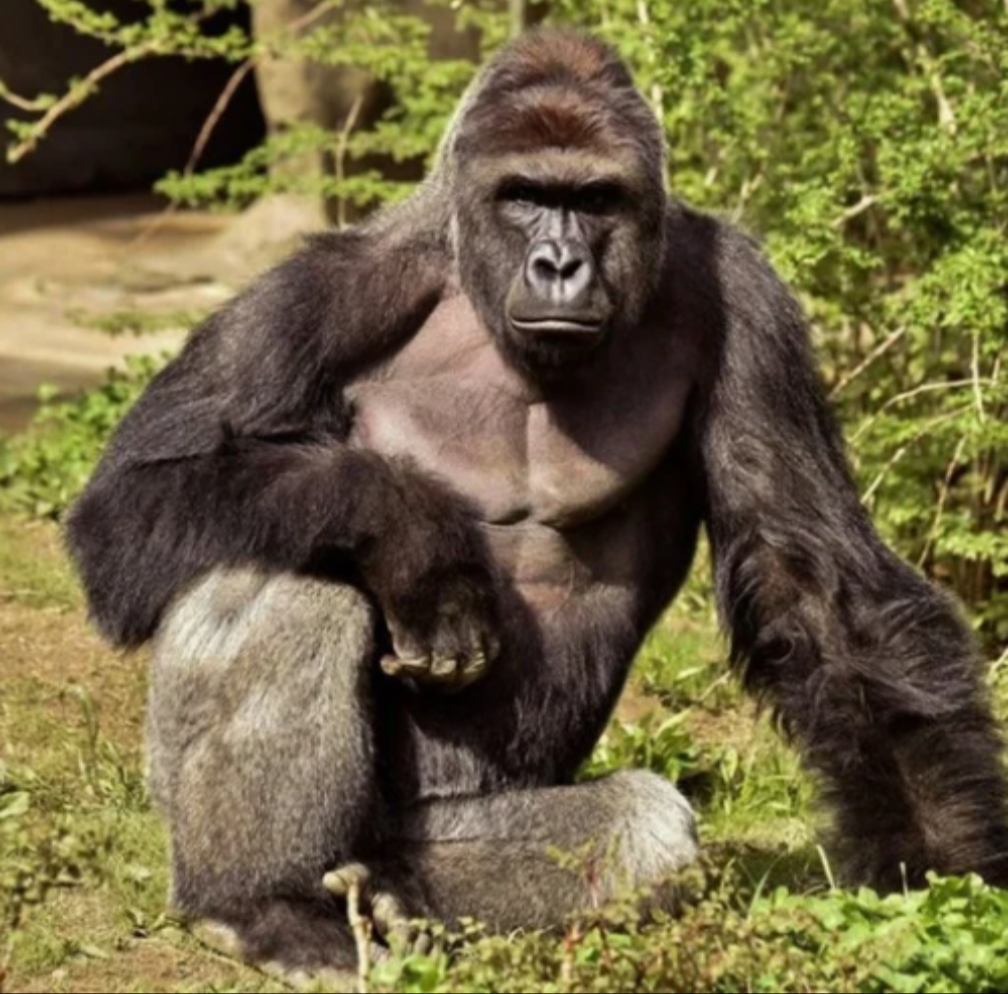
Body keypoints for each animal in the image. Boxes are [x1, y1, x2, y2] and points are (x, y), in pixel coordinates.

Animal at [66, 27, 1008, 977]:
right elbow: (130, 498)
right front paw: (411, 534)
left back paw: (399, 896)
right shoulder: (322, 290)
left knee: (639, 830)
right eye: (525, 196)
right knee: (283, 569)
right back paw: (261, 902)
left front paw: (944, 863)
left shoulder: (748, 302)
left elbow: (812, 582)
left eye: (594, 198)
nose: (559, 264)